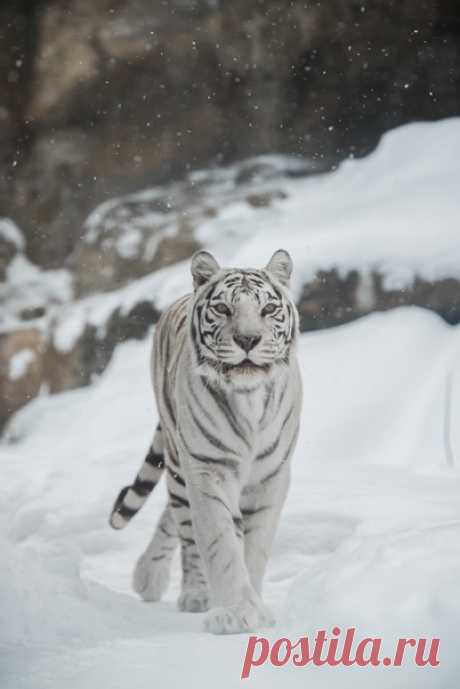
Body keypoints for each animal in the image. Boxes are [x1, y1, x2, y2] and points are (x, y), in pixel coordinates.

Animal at [108, 249, 302, 636]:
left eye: (268, 309)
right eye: (224, 309)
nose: (247, 340)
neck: (249, 399)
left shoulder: (270, 477)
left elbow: (255, 546)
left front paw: (255, 608)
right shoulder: (207, 471)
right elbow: (220, 543)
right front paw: (235, 611)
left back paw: (149, 577)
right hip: (179, 464)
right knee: (184, 527)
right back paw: (191, 592)